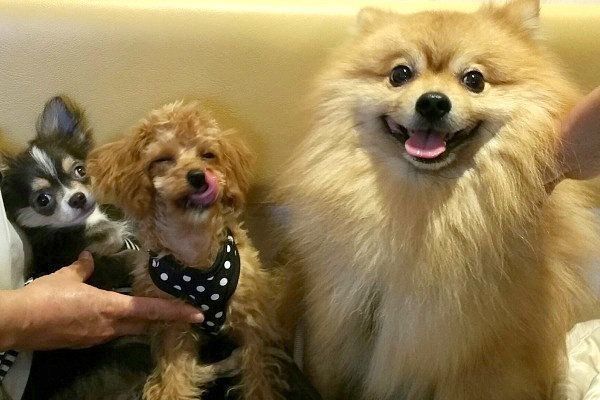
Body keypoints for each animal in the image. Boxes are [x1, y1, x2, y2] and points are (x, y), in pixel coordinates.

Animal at [88, 101, 286, 400]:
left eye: (208, 155)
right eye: (163, 159)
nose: (198, 176)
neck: (193, 244)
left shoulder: (253, 320)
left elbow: (257, 375)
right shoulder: (173, 325)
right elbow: (175, 378)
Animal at [274, 1, 599, 399]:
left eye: (474, 79)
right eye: (400, 73)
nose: (432, 103)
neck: (423, 207)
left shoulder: (472, 360)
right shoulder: (339, 328)